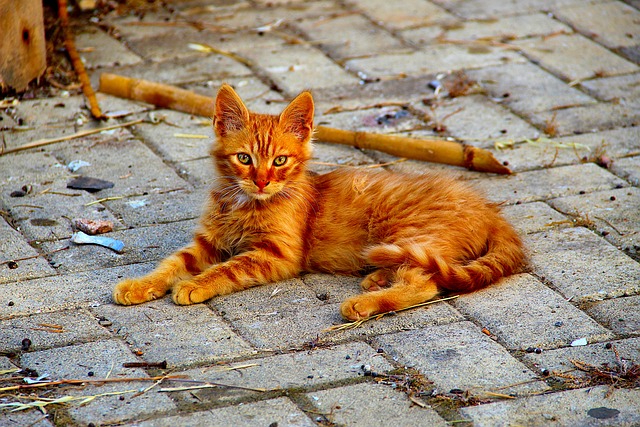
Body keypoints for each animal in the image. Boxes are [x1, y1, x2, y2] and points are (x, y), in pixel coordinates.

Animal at [114, 85, 524, 320]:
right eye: (244, 158)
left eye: (280, 161)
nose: (262, 181)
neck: (244, 203)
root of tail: (489, 209)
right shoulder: (207, 241)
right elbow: (171, 264)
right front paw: (140, 284)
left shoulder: (276, 254)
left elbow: (227, 269)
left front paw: (196, 284)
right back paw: (377, 279)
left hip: (411, 232)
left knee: (426, 284)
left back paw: (365, 303)